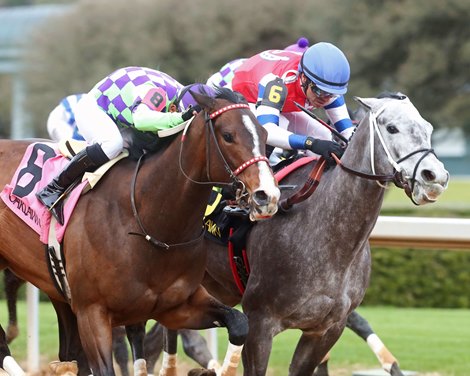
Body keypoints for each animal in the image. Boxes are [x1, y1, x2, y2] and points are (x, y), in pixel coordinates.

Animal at [0, 89, 280, 376]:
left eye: (264, 135)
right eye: (228, 135)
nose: (267, 195)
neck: (148, 223)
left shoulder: (176, 307)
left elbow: (239, 323)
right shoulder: (92, 313)